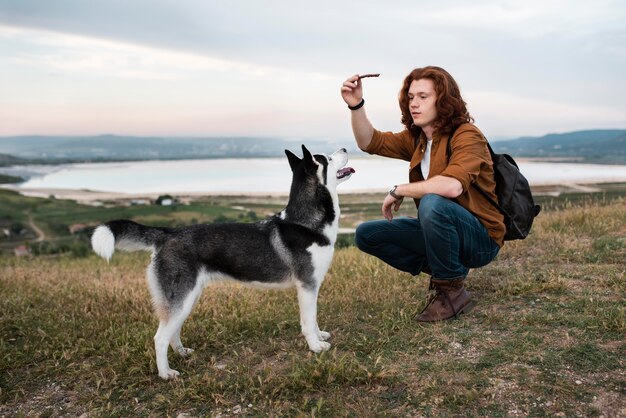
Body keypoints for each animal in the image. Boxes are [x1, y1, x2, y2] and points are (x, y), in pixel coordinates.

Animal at [90, 145, 354, 380]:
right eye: (328, 159)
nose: (344, 148)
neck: (305, 223)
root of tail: (168, 233)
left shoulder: (312, 286)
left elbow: (314, 318)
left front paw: (320, 336)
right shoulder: (306, 285)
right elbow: (308, 321)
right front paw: (315, 346)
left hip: (188, 298)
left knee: (172, 331)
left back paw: (182, 353)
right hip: (181, 297)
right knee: (160, 337)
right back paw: (166, 373)